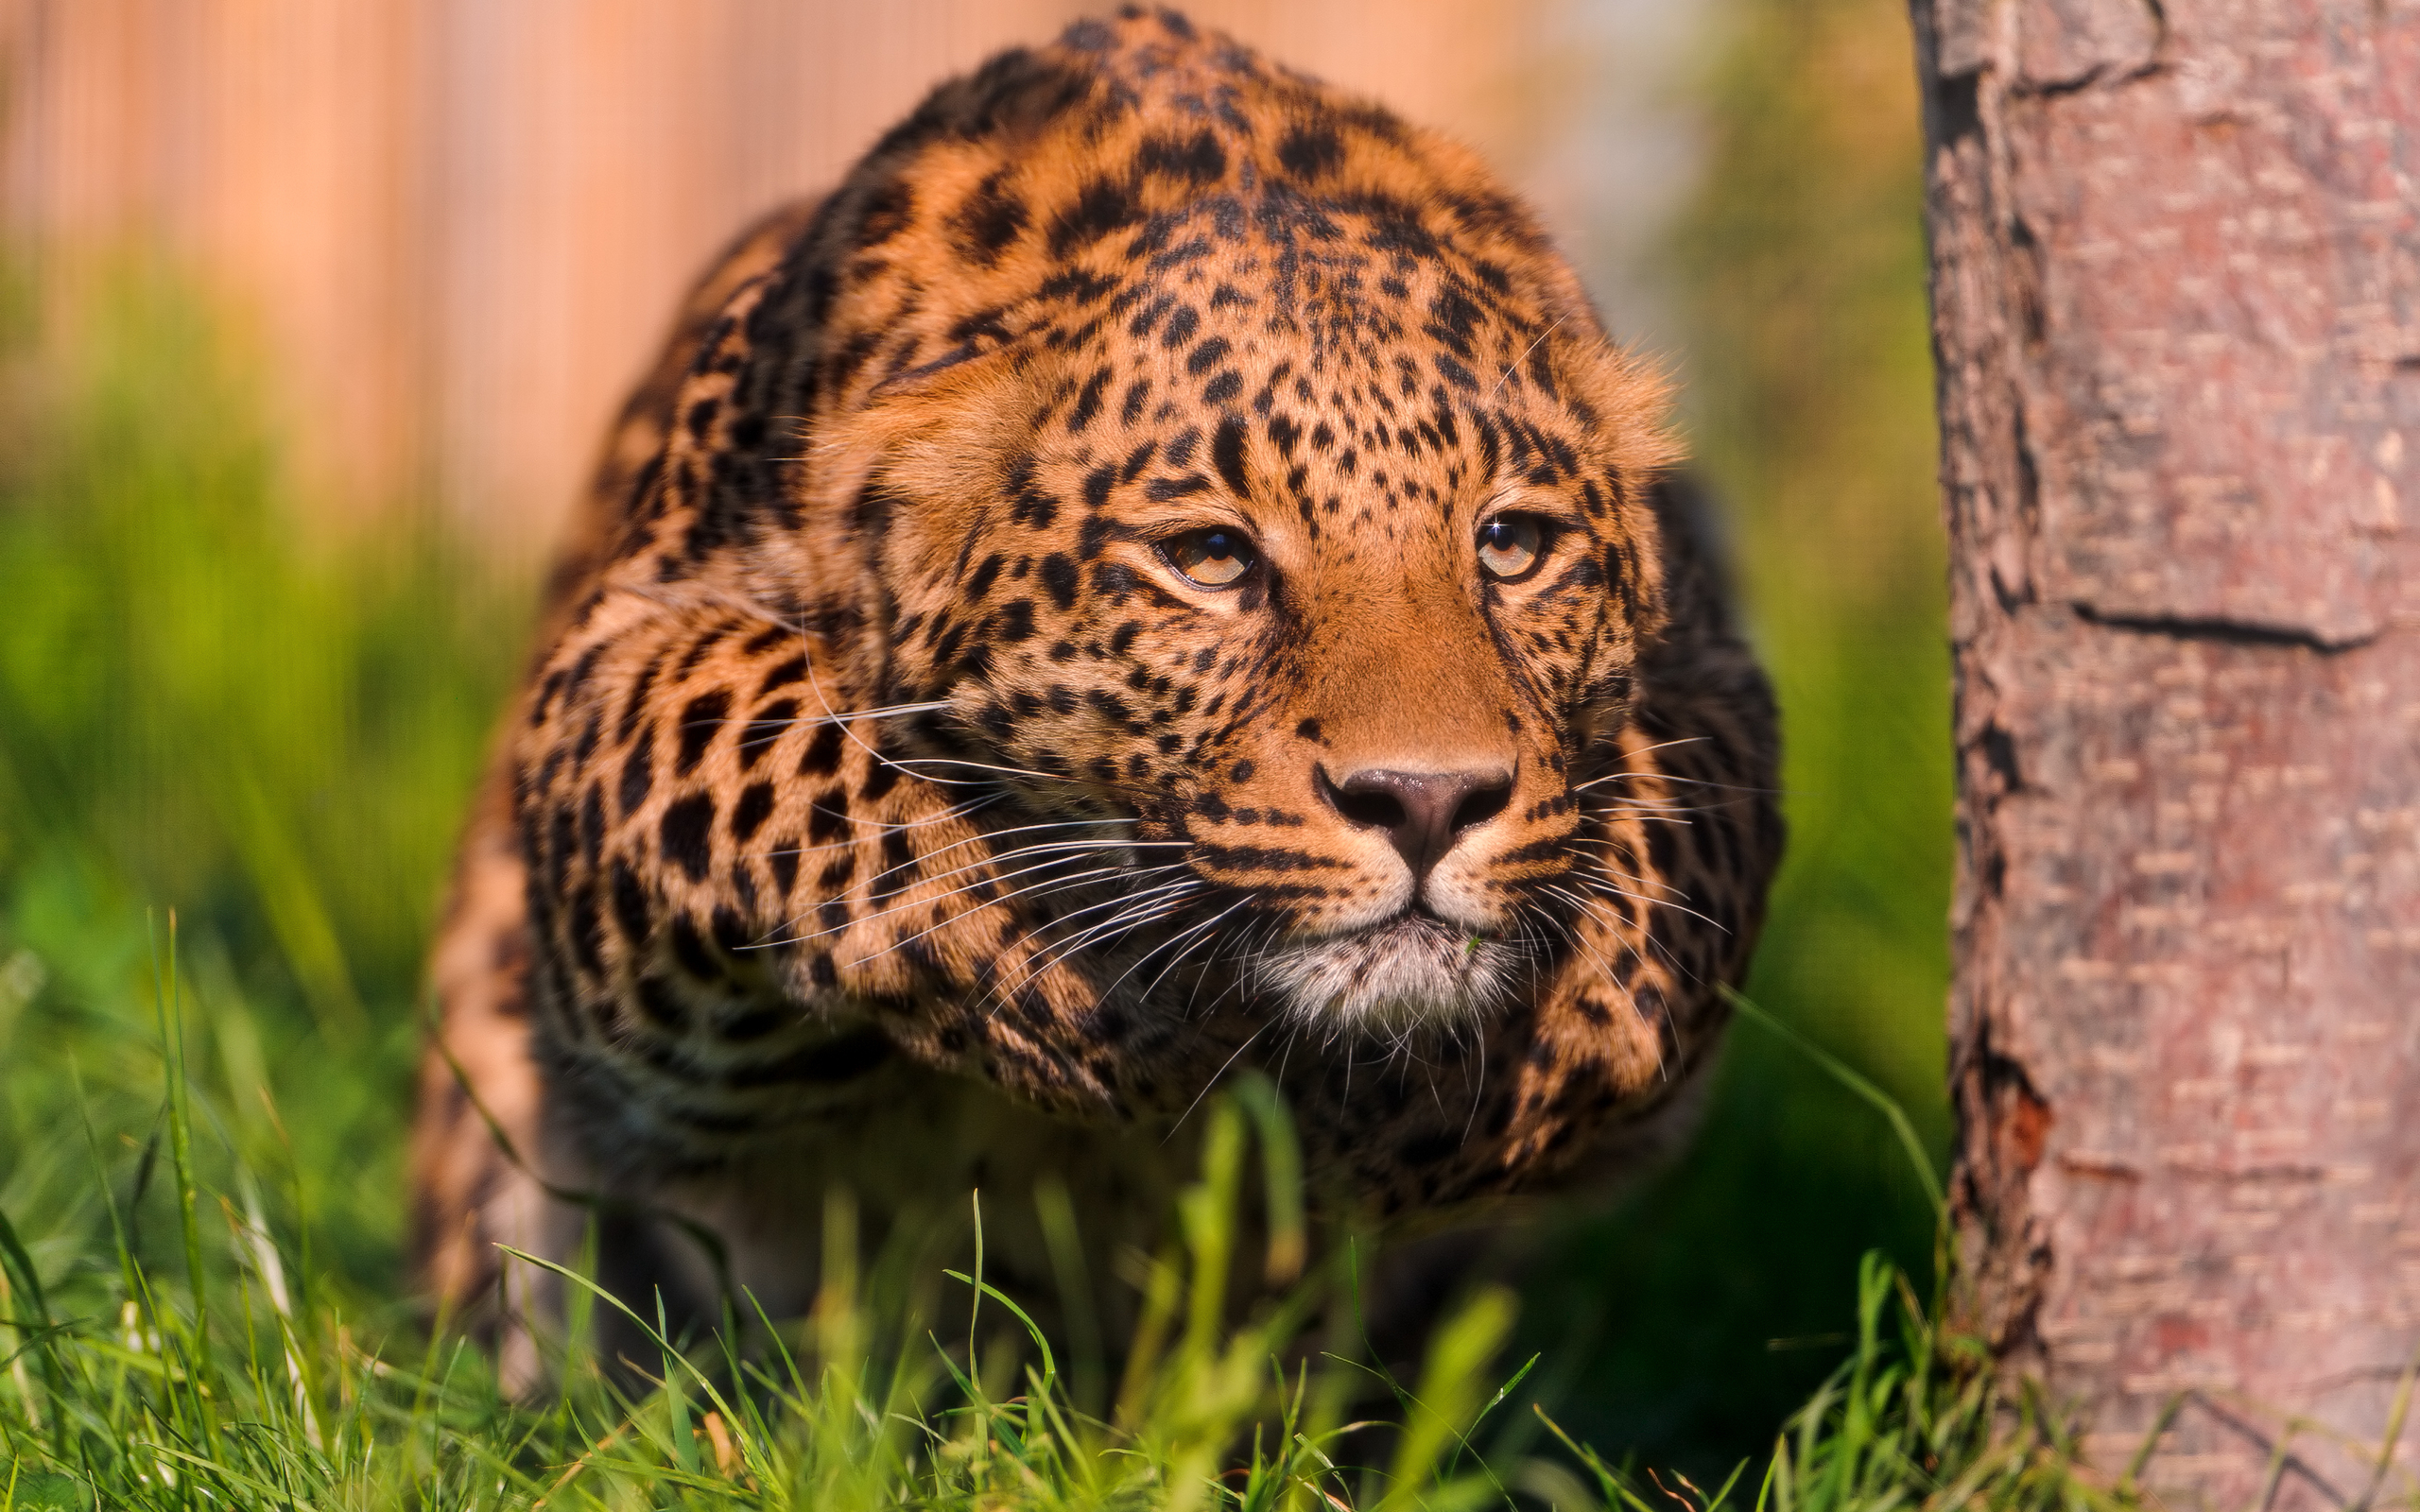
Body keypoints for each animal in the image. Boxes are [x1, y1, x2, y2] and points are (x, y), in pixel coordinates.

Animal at [411, 6, 1781, 1383]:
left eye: (1512, 545)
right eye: (1210, 559)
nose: (1427, 802)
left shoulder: (1716, 684)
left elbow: (1661, 895)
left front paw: (1446, 1087)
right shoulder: (609, 678)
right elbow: (774, 736)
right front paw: (1111, 1013)